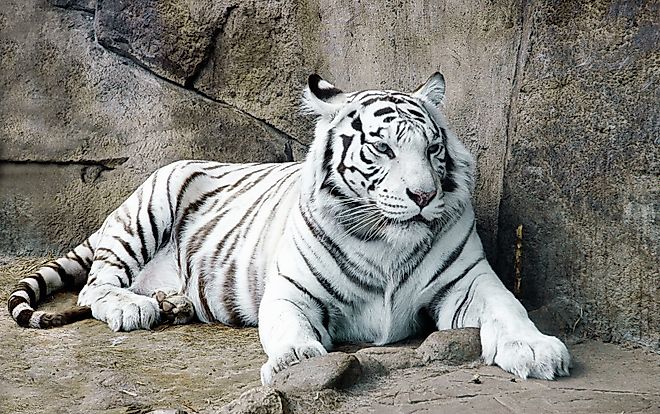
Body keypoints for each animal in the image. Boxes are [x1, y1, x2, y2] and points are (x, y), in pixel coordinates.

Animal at [8, 72, 571, 385]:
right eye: (382, 148)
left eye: (432, 148)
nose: (424, 196)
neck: (389, 245)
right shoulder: (292, 291)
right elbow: (286, 327)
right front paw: (297, 360)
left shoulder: (470, 280)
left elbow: (509, 307)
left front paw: (536, 350)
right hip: (151, 203)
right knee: (96, 287)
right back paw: (134, 309)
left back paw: (173, 303)